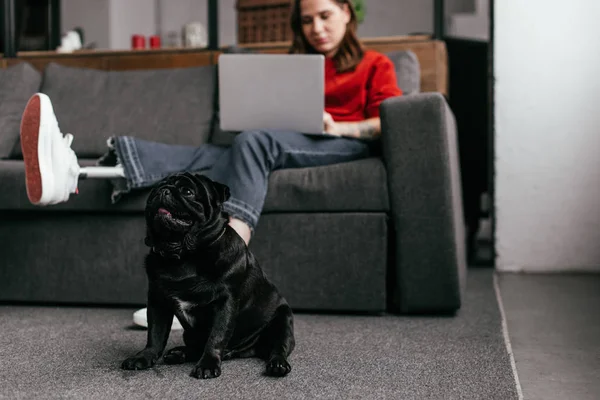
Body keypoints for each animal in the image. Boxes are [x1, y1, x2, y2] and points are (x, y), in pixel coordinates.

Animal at [120, 172, 294, 378]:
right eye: (155, 189)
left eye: (187, 191)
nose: (163, 191)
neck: (183, 255)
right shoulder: (157, 301)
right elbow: (155, 334)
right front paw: (144, 357)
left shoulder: (225, 303)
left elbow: (216, 336)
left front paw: (208, 364)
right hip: (189, 334)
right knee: (195, 346)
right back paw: (180, 353)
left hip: (283, 321)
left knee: (278, 347)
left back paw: (277, 364)